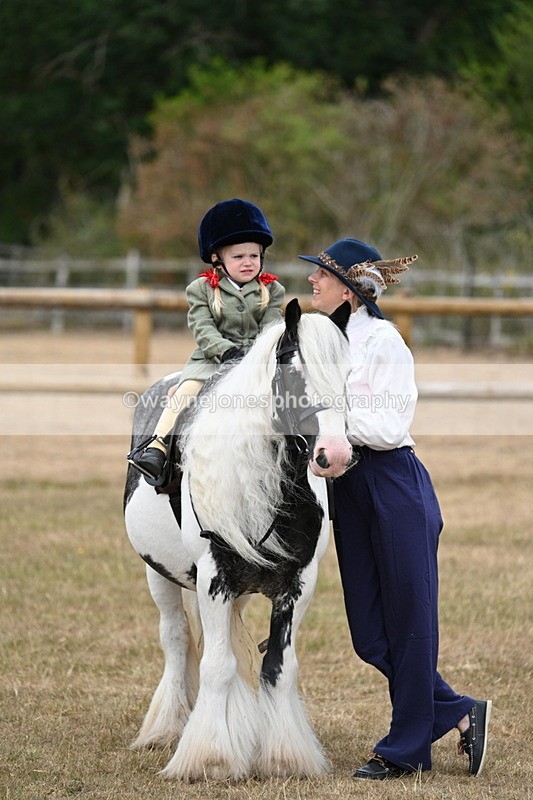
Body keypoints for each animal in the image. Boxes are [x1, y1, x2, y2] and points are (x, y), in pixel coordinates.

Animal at [123, 299, 353, 781]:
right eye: (292, 372)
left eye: (347, 373)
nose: (336, 455)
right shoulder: (214, 578)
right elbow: (216, 665)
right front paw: (209, 758)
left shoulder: (298, 584)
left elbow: (277, 666)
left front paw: (284, 757)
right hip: (161, 577)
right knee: (176, 641)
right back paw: (166, 728)